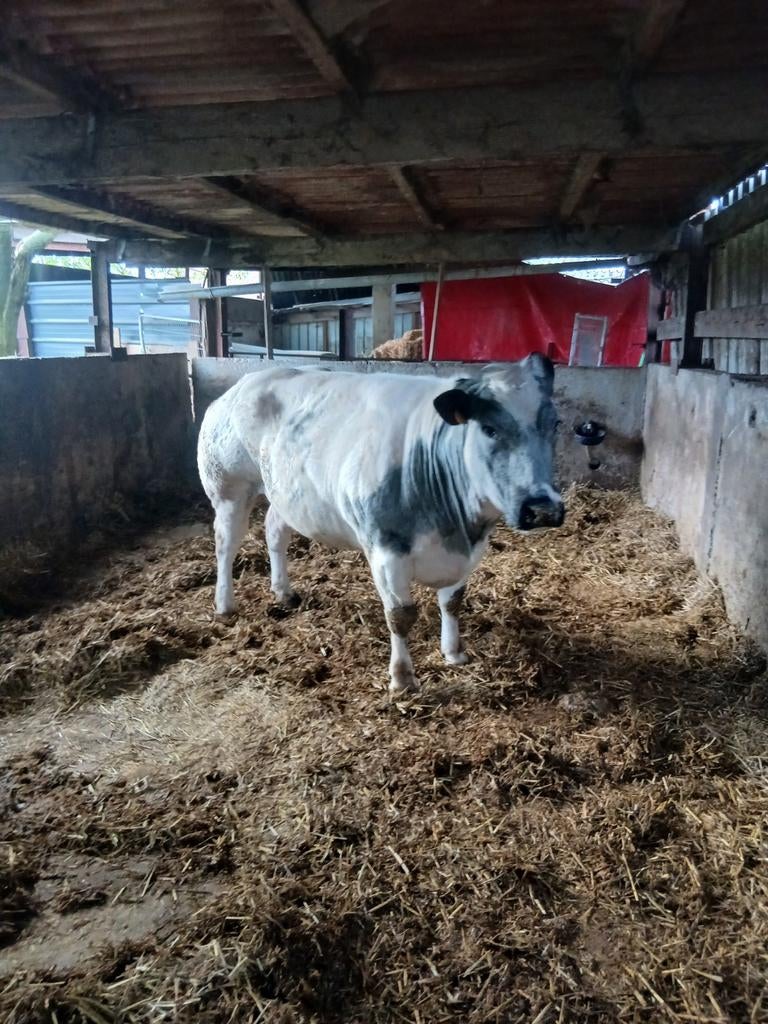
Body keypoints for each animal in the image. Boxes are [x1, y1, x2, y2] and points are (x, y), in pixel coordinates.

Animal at [197, 354, 564, 696]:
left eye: (555, 424)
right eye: (489, 429)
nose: (543, 508)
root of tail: (244, 382)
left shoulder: (468, 551)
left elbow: (452, 602)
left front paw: (453, 653)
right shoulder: (386, 548)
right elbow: (400, 615)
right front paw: (402, 679)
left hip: (284, 492)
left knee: (275, 530)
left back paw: (283, 592)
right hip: (228, 488)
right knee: (226, 545)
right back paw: (224, 605)